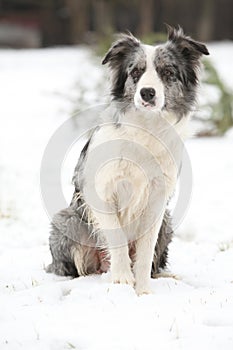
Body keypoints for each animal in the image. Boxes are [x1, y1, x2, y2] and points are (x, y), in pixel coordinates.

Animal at [46, 24, 208, 294]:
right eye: (136, 72)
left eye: (167, 72)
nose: (147, 92)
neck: (146, 128)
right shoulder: (101, 190)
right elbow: (117, 237)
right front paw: (122, 279)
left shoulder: (157, 198)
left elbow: (145, 251)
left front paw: (142, 290)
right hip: (67, 220)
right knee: (79, 267)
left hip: (167, 221)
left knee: (154, 262)